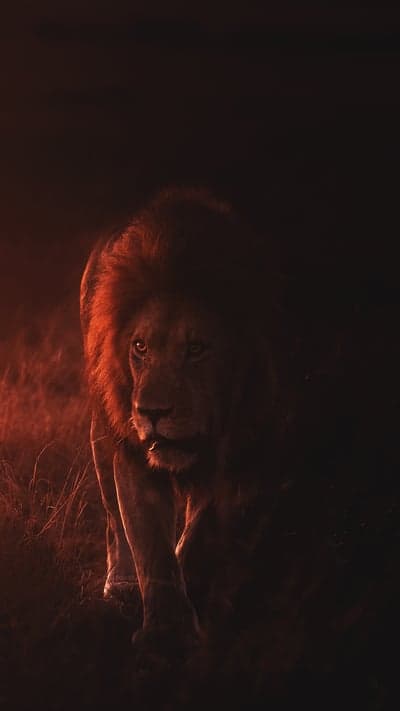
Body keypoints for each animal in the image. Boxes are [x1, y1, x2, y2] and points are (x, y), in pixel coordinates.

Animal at [80, 187, 277, 653]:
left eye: (196, 349)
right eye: (140, 347)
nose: (152, 412)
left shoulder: (239, 447)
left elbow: (201, 528)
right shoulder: (133, 453)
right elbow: (149, 541)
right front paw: (165, 633)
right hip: (103, 433)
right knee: (114, 522)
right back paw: (121, 585)